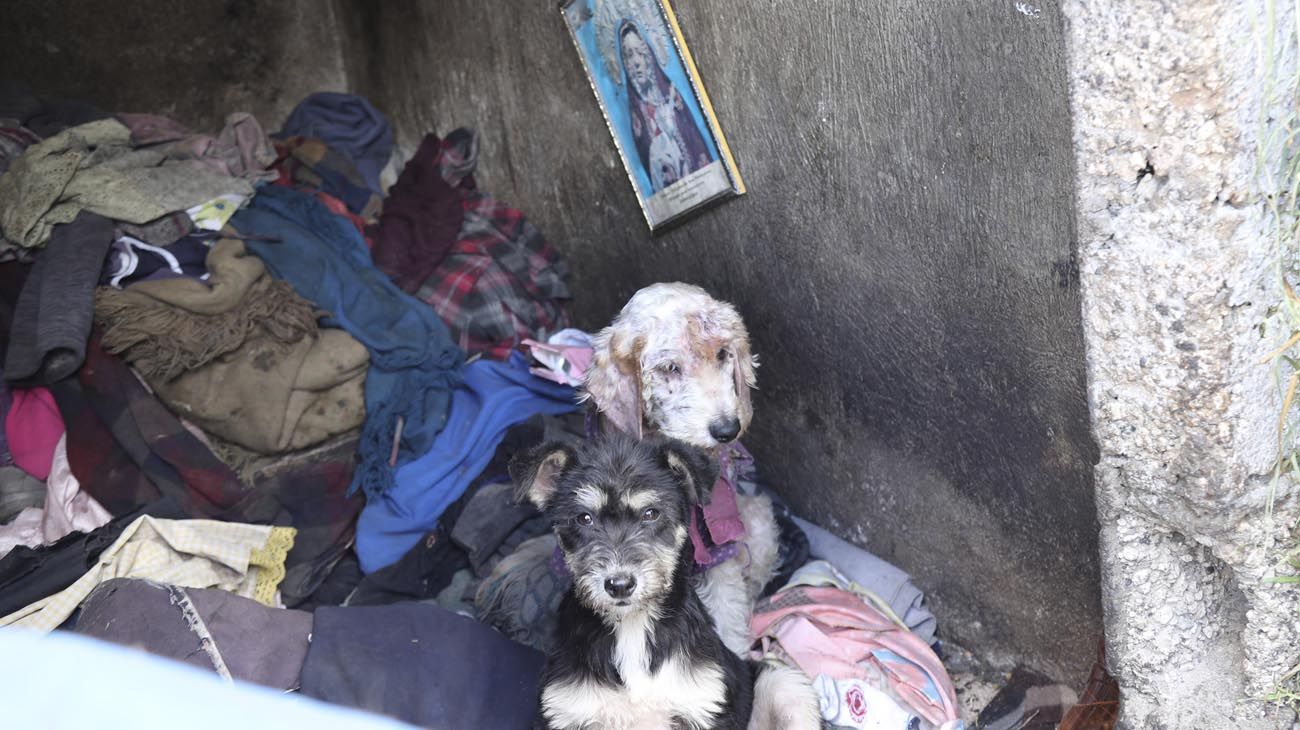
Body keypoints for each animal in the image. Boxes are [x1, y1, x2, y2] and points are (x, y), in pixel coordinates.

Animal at [512, 431, 816, 727]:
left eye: (651, 513)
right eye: (584, 518)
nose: (619, 586)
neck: (632, 629)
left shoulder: (705, 703)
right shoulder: (567, 711)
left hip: (785, 682)